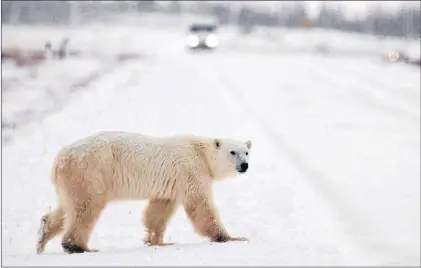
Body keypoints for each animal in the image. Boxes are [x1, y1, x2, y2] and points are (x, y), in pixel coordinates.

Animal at [36, 131, 251, 254]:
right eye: (233, 152)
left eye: (247, 152)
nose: (244, 165)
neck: (201, 152)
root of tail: (59, 160)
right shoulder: (192, 170)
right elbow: (201, 204)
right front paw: (231, 237)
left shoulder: (172, 183)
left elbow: (159, 209)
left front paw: (158, 241)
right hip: (90, 173)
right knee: (86, 207)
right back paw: (79, 247)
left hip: (72, 181)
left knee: (66, 208)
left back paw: (42, 240)